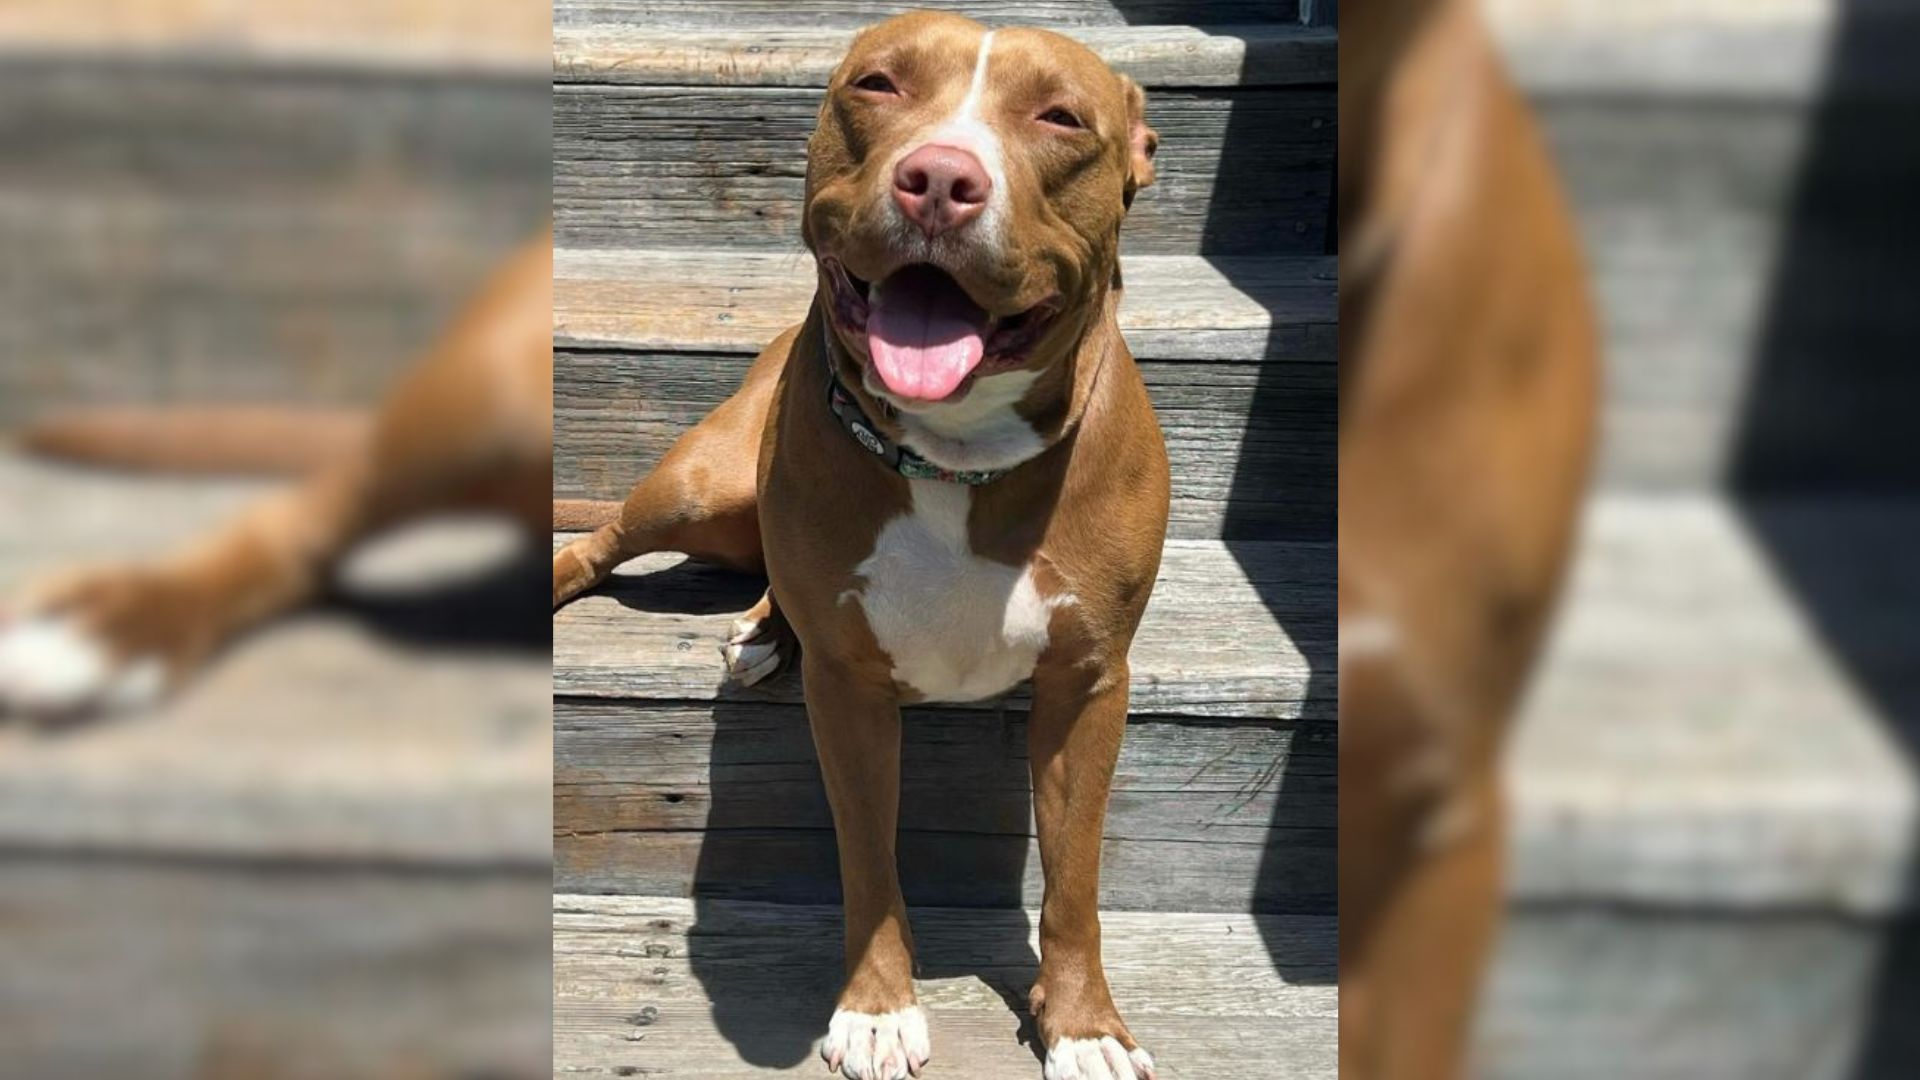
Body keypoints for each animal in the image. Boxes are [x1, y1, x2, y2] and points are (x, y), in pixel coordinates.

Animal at [556, 14, 1167, 1076]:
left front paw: (1084, 1022)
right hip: (697, 489)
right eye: (878, 86)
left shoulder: (1088, 686)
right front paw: (878, 1009)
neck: (958, 457)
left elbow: (1076, 879)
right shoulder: (847, 690)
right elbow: (868, 857)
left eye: (1059, 117)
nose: (940, 178)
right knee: (602, 542)